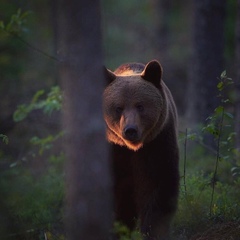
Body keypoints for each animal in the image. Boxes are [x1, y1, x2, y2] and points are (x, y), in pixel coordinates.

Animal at [102, 60, 179, 240]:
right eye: (119, 107)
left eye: (140, 106)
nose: (130, 130)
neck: (132, 148)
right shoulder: (114, 150)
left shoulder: (157, 143)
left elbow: (158, 187)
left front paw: (152, 230)